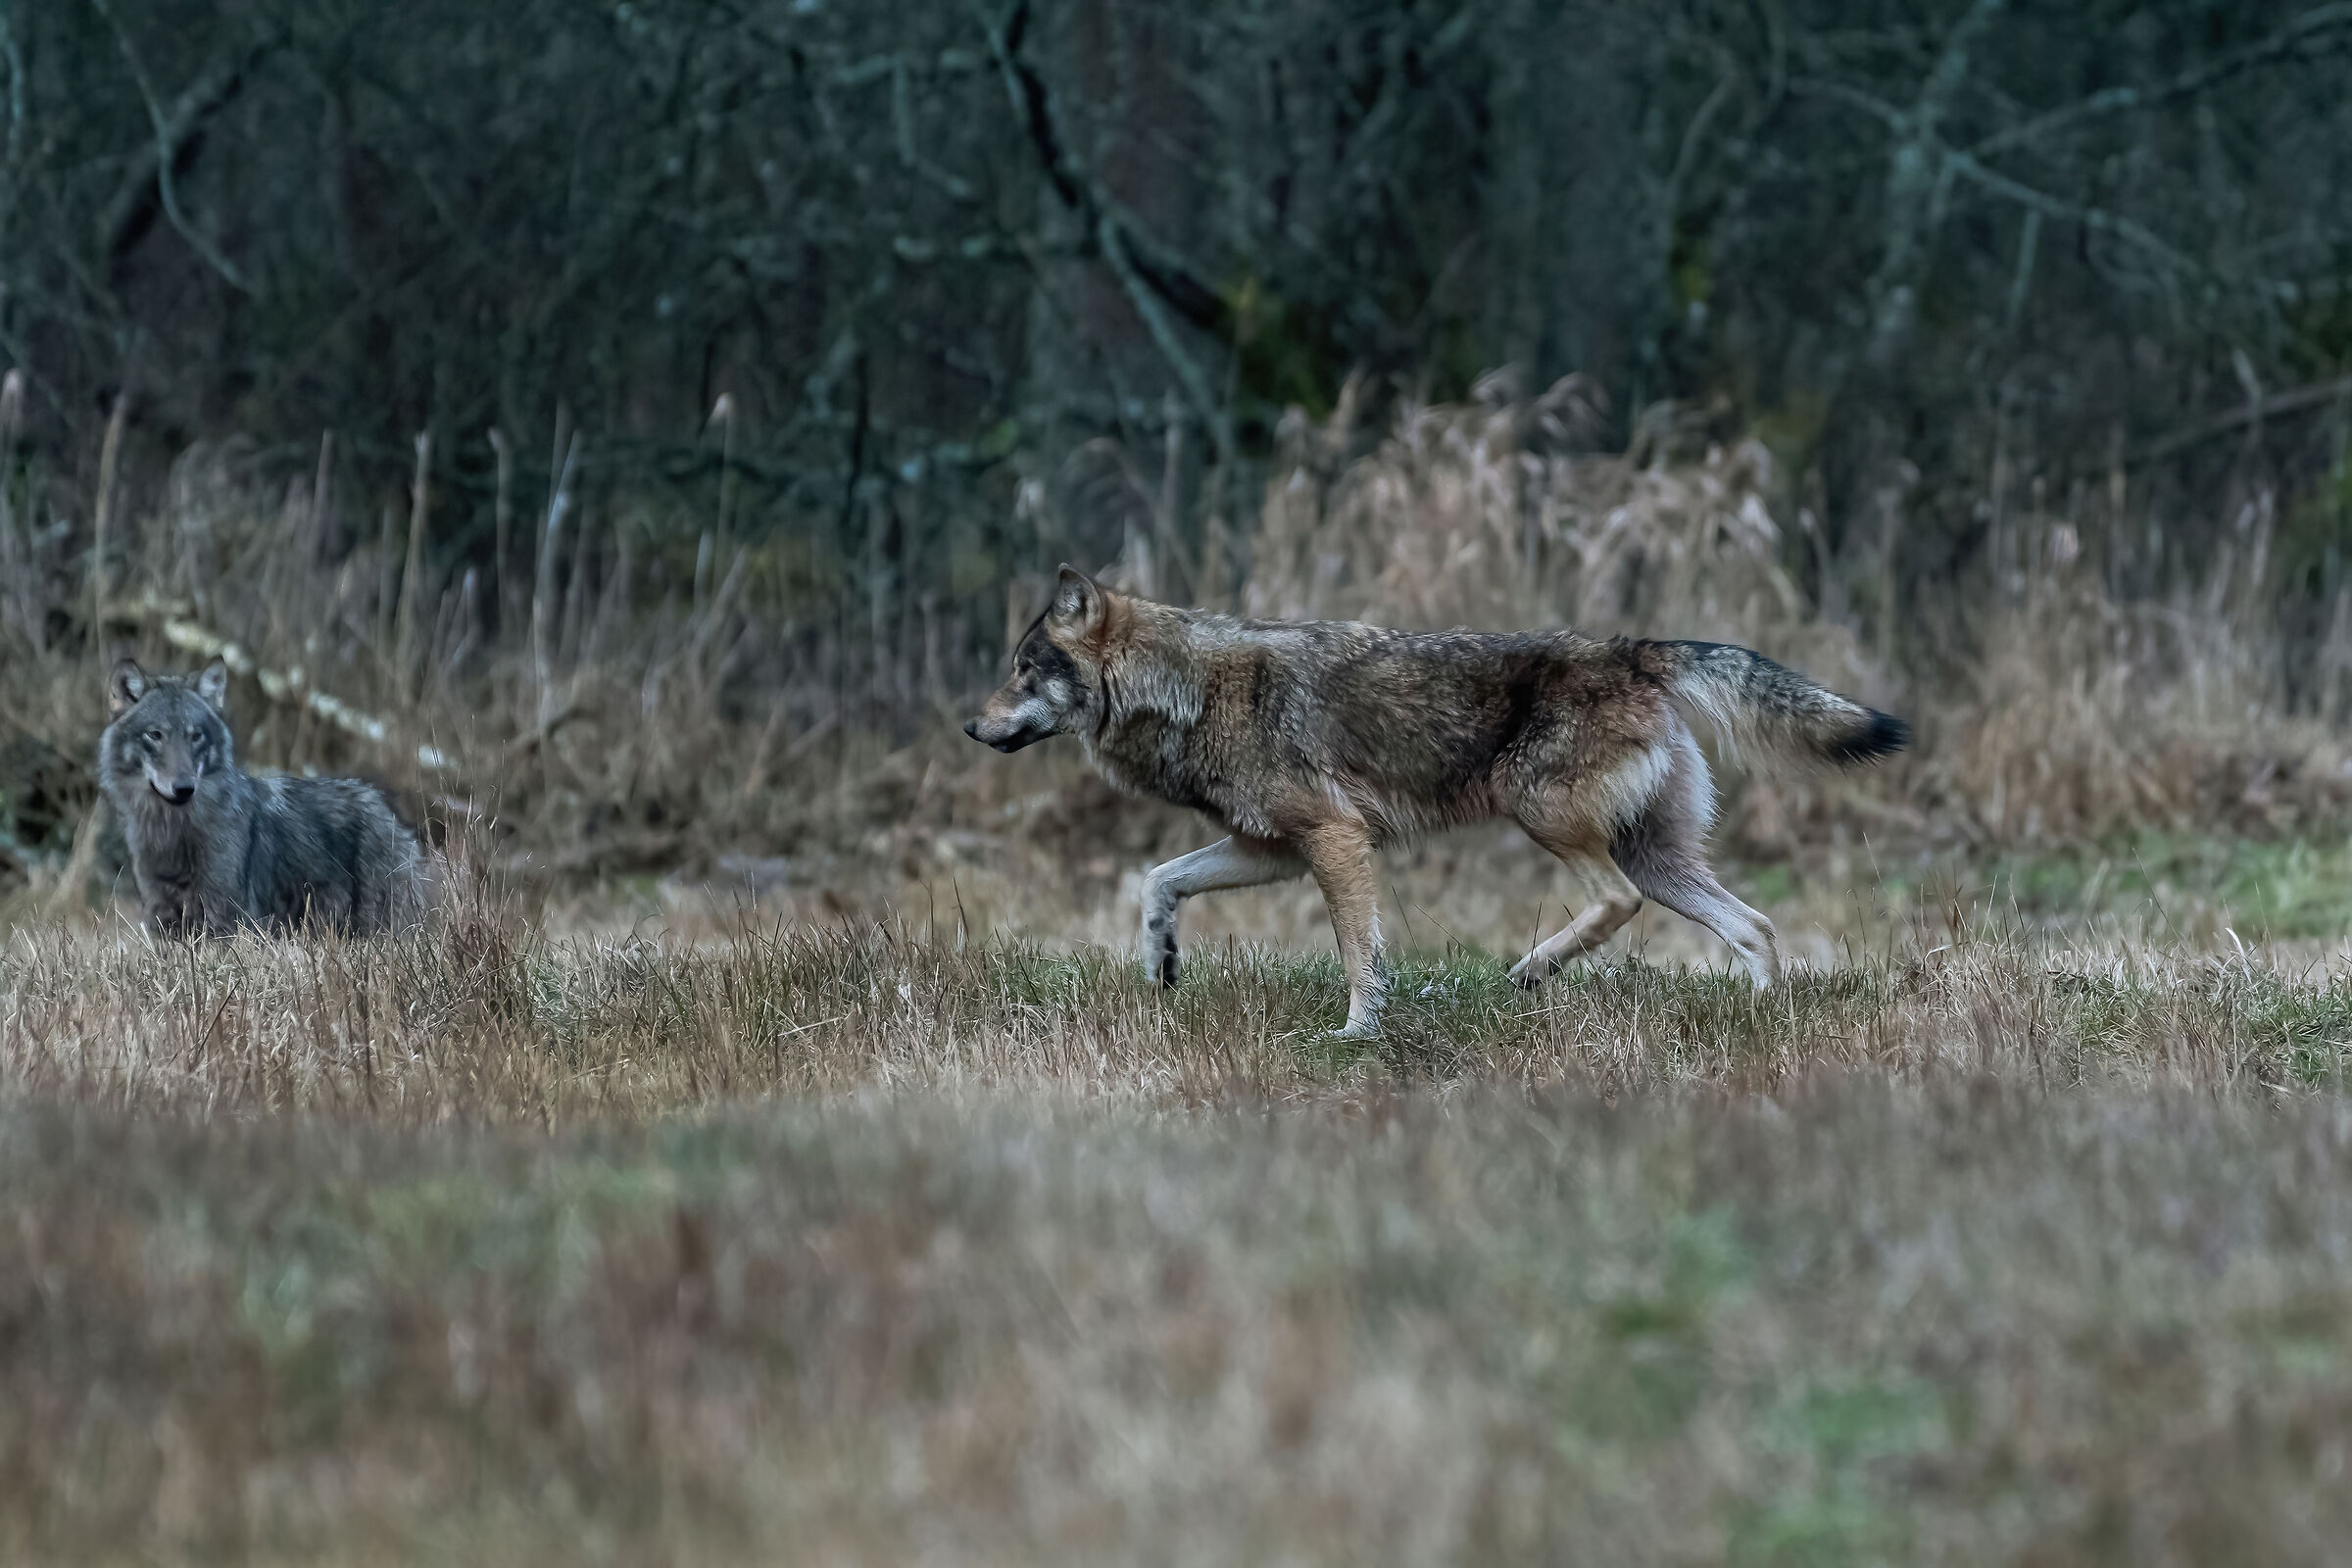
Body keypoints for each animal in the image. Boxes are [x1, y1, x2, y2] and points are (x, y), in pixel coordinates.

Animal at [98, 658, 427, 938]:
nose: (183, 787)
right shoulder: (164, 923)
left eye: (196, 736)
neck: (173, 834)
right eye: (155, 735)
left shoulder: (226, 923)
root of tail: (382, 804)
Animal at [966, 566, 1909, 1037]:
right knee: (1756, 927)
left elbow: (1360, 955)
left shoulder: (1334, 839)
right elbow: (1157, 880)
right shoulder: (1269, 850)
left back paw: (1531, 971)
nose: (970, 726)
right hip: (1662, 858)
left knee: (1617, 902)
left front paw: (1357, 1035)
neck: (1189, 691)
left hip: (1548, 819)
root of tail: (1634, 649)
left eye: (1023, 669)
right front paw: (1161, 963)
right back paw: (1761, 1025)